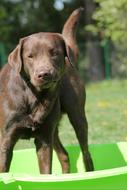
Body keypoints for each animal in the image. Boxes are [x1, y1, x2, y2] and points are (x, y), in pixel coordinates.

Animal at [0, 7, 93, 174]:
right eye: (30, 56)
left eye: (54, 53)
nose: (44, 74)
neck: (33, 95)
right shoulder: (7, 139)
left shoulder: (44, 140)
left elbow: (45, 172)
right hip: (54, 130)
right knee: (64, 155)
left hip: (76, 117)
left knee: (85, 153)